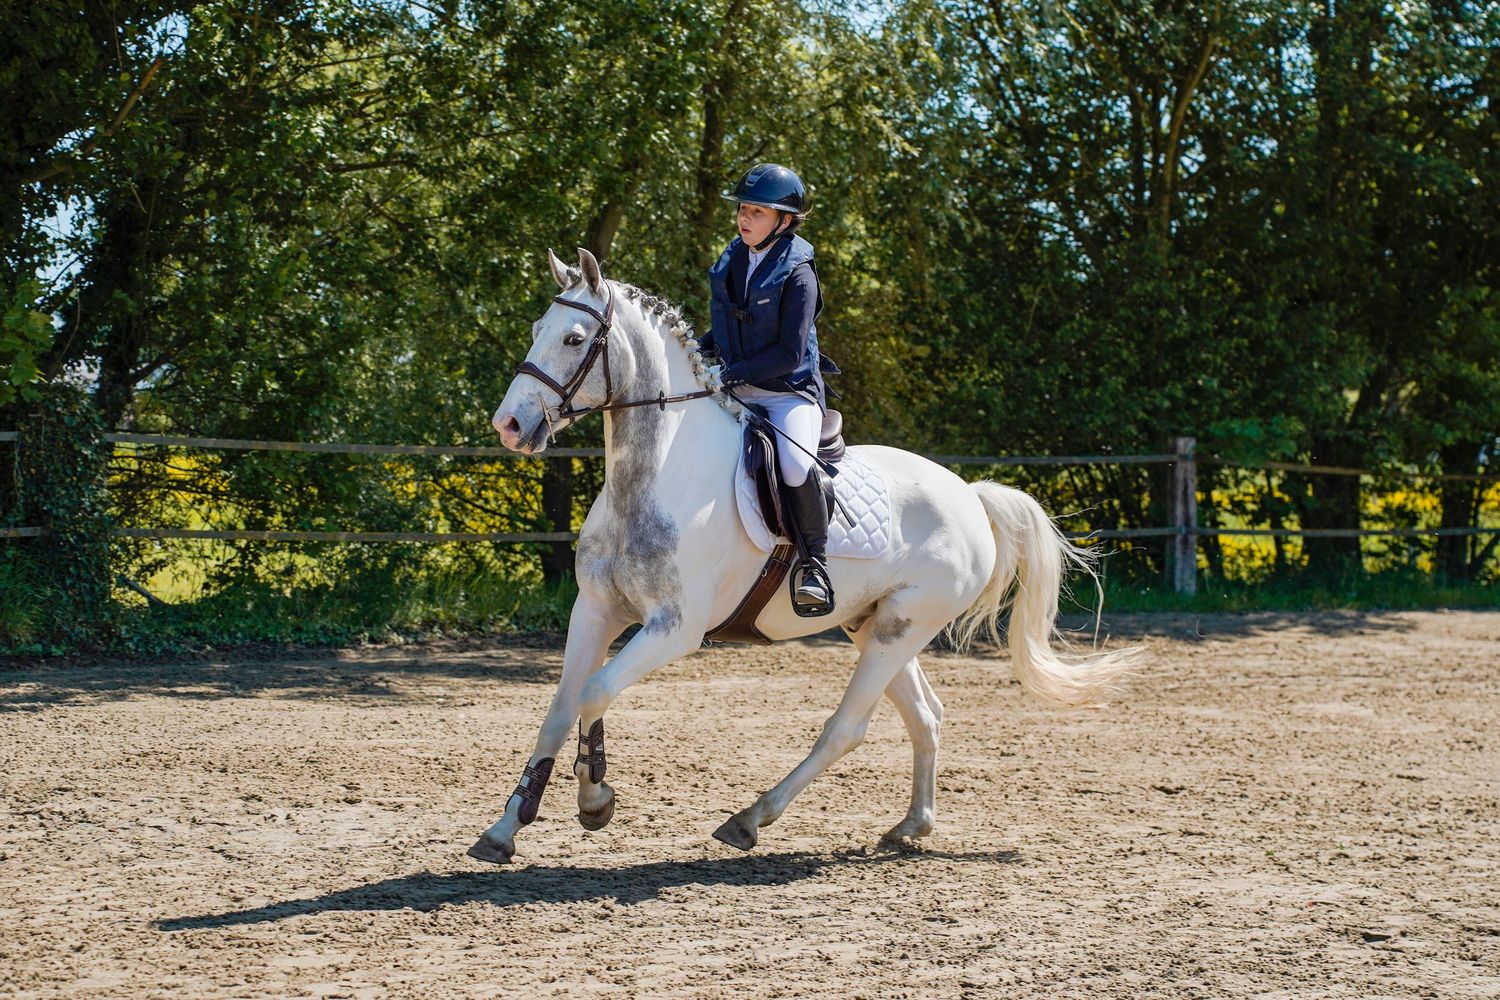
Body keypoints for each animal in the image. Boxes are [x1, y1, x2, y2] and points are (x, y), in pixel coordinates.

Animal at [469, 247, 1135, 864]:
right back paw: (911, 826)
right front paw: (505, 828)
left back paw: (751, 819)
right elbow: (560, 707)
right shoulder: (596, 609)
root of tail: (968, 495)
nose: (509, 425)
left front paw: (595, 799)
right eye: (539, 328)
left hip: (904, 625)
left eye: (574, 338)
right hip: (874, 625)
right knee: (926, 715)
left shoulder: (673, 629)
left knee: (847, 728)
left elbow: (595, 691)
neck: (656, 476)